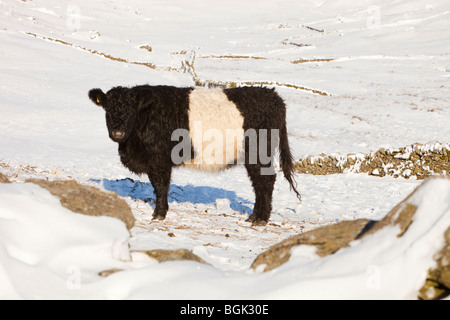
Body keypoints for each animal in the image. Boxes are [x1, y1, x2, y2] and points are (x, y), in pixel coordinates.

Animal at [88, 85, 300, 225]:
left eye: (131, 109)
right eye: (108, 110)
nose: (117, 133)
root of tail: (273, 96)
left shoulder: (159, 160)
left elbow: (160, 186)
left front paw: (159, 214)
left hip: (259, 154)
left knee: (265, 182)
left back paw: (261, 218)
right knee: (259, 183)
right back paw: (254, 216)